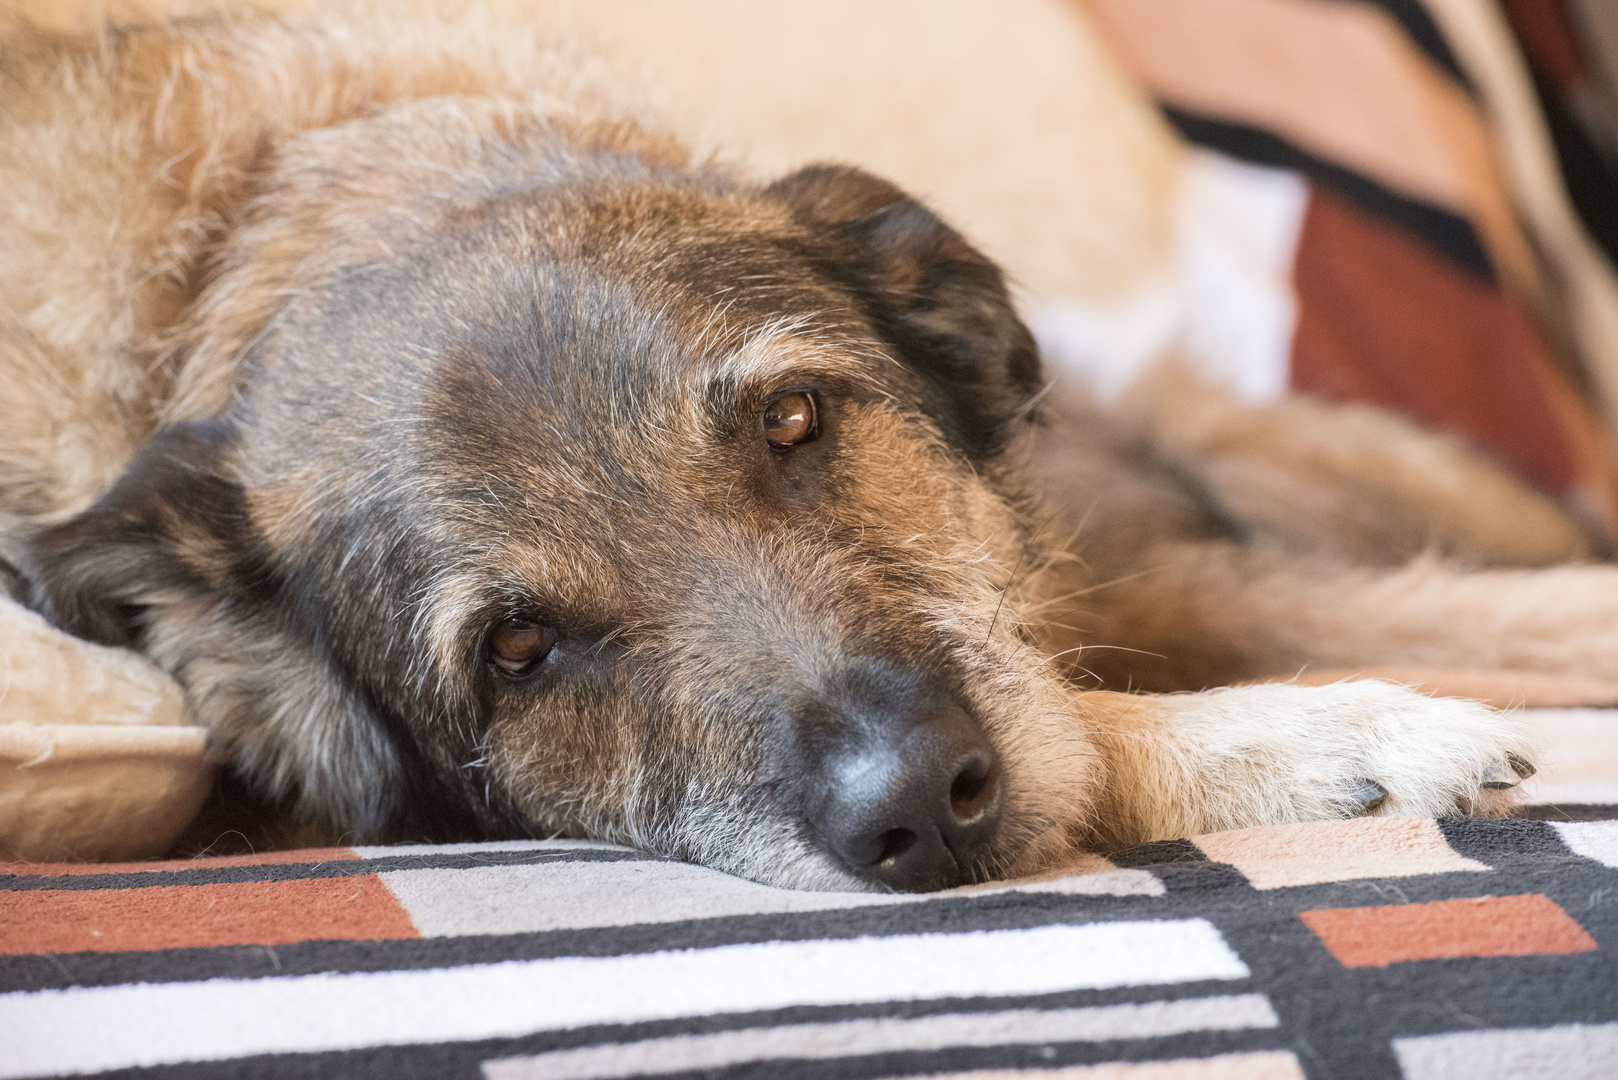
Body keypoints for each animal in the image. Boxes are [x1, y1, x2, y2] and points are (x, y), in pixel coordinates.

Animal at [0, 8, 1572, 893]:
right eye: (516, 649)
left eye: (793, 419)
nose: (919, 807)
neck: (274, 204)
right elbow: (1105, 711)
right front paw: (1311, 735)